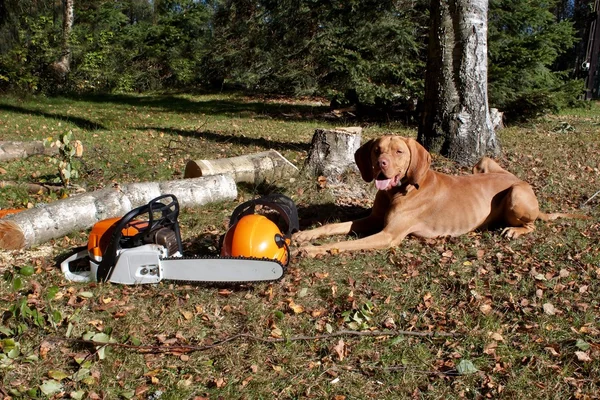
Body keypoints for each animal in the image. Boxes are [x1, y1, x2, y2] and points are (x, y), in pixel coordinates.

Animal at [296, 136, 584, 258]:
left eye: (399, 151)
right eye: (377, 150)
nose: (381, 164)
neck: (399, 191)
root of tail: (520, 180)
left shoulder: (387, 236)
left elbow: (343, 243)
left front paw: (312, 249)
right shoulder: (372, 220)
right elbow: (332, 227)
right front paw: (304, 236)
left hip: (515, 193)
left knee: (531, 224)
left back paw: (514, 230)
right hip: (482, 163)